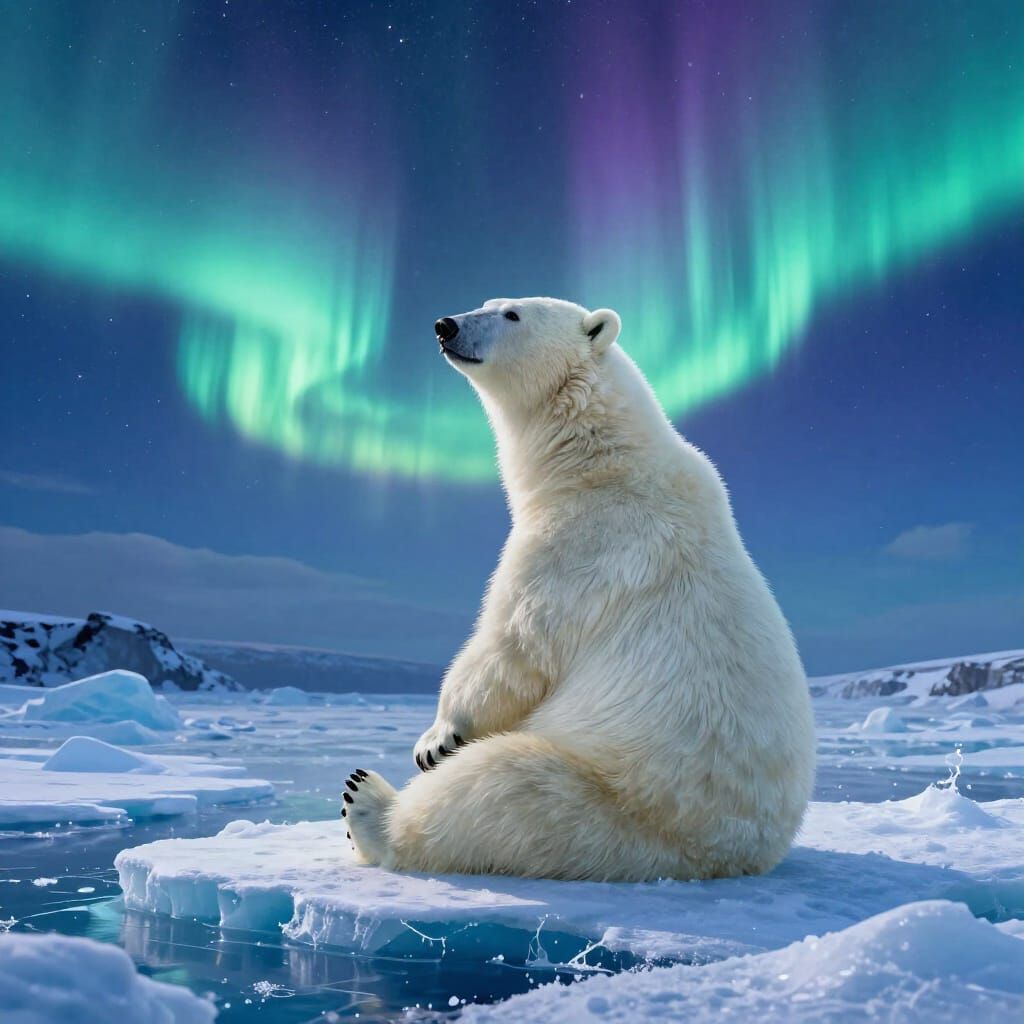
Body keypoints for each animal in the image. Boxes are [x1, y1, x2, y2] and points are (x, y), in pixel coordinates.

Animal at [343, 297, 816, 882]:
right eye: (487, 302)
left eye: (513, 314)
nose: (444, 325)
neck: (600, 459)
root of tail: (735, 856)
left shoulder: (581, 542)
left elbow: (516, 644)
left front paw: (437, 737)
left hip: (618, 803)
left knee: (501, 787)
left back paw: (368, 803)